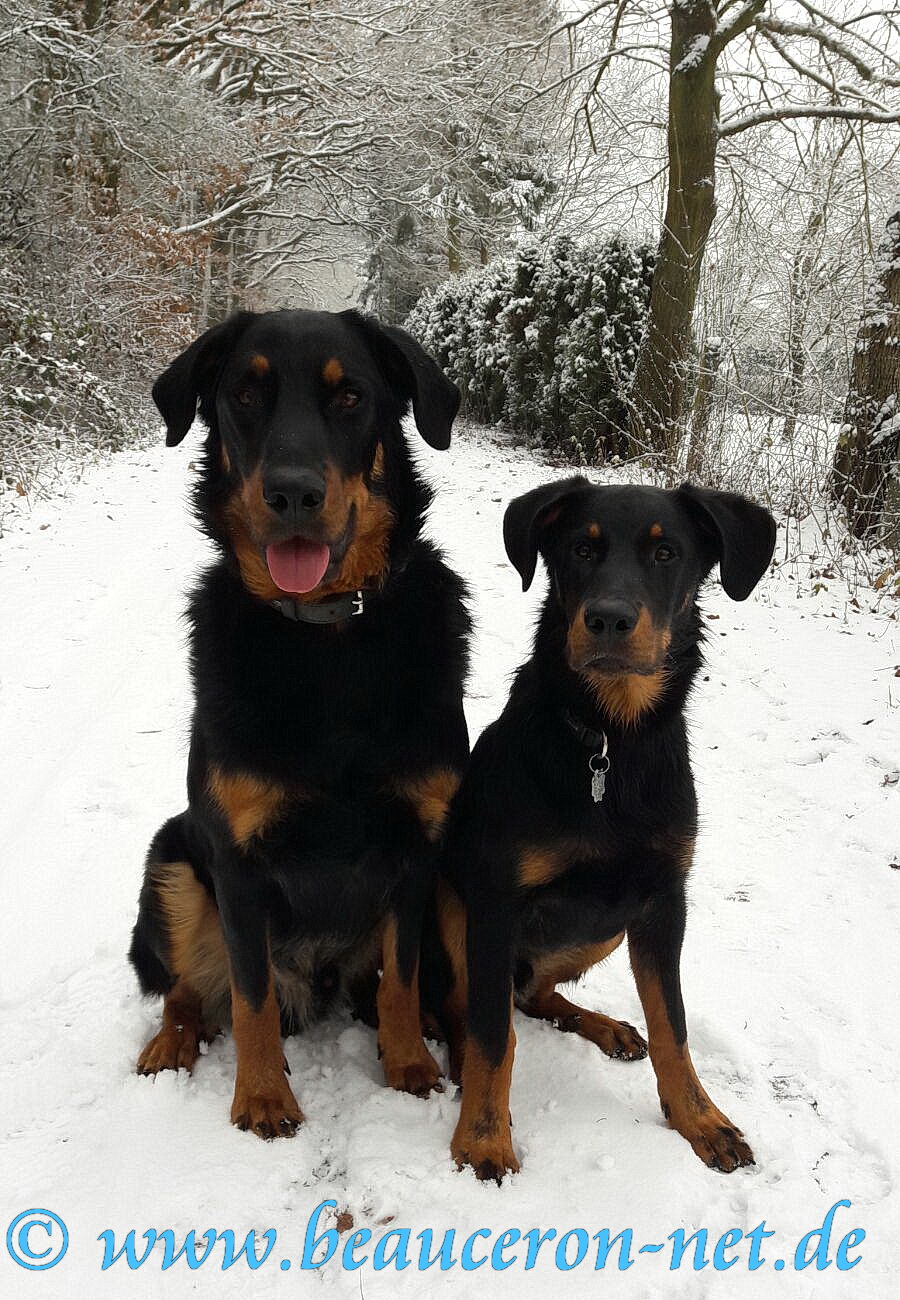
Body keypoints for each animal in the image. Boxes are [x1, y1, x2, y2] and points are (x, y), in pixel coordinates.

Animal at [129, 309, 470, 1138]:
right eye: (244, 395)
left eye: (350, 398)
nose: (292, 494)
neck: (327, 638)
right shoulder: (236, 861)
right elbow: (249, 997)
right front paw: (260, 1096)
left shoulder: (416, 847)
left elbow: (402, 975)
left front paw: (409, 1064)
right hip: (172, 863)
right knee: (190, 990)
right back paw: (170, 1044)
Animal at [431, 476, 776, 1181]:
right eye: (581, 550)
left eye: (667, 553)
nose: (609, 620)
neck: (610, 744)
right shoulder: (496, 900)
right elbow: (491, 1037)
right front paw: (483, 1137)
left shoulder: (662, 900)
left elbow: (673, 1025)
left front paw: (701, 1120)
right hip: (455, 909)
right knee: (477, 1008)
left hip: (606, 926)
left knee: (533, 993)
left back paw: (605, 1026)